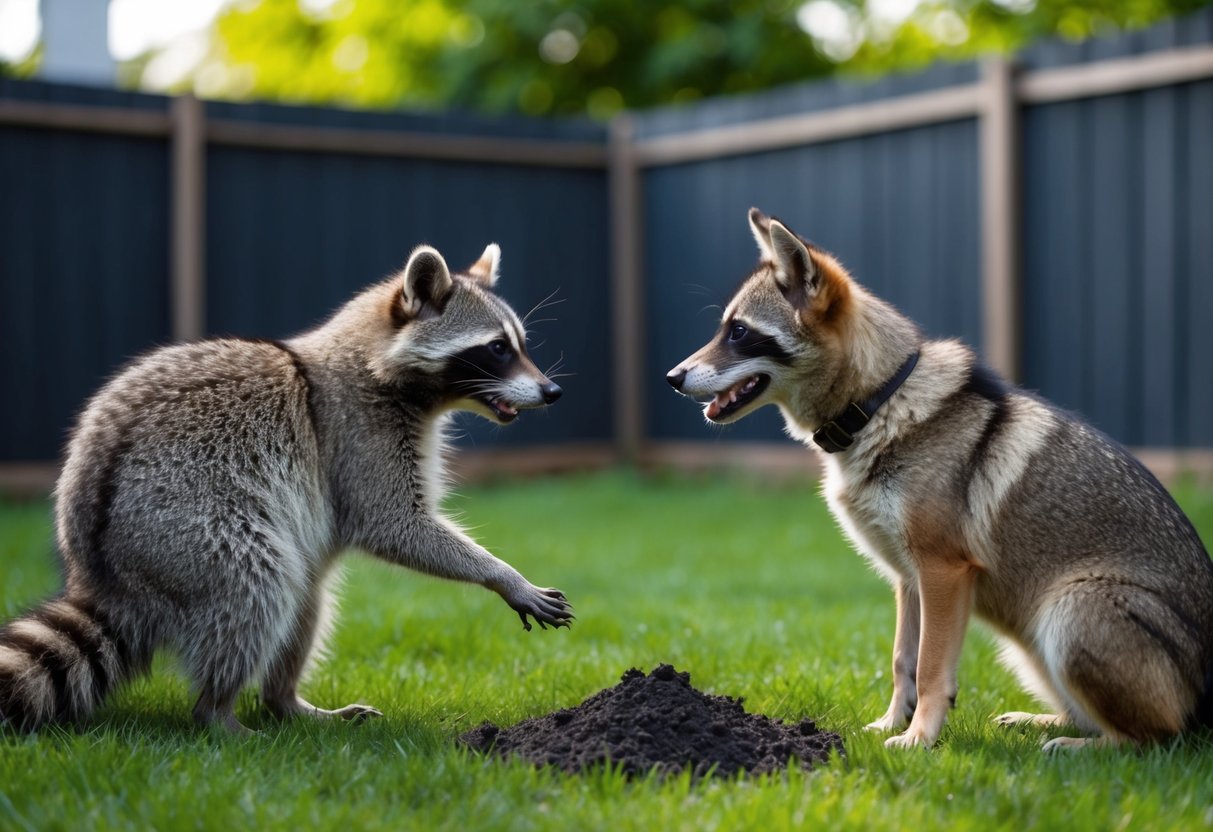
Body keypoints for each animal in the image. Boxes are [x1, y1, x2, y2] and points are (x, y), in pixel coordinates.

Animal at [0, 243, 573, 733]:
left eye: (519, 345)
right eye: (496, 349)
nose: (553, 391)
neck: (375, 358)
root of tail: (103, 577)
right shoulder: (356, 434)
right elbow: (393, 523)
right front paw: (502, 575)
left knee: (305, 597)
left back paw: (285, 701)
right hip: (182, 527)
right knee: (259, 584)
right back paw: (218, 712)